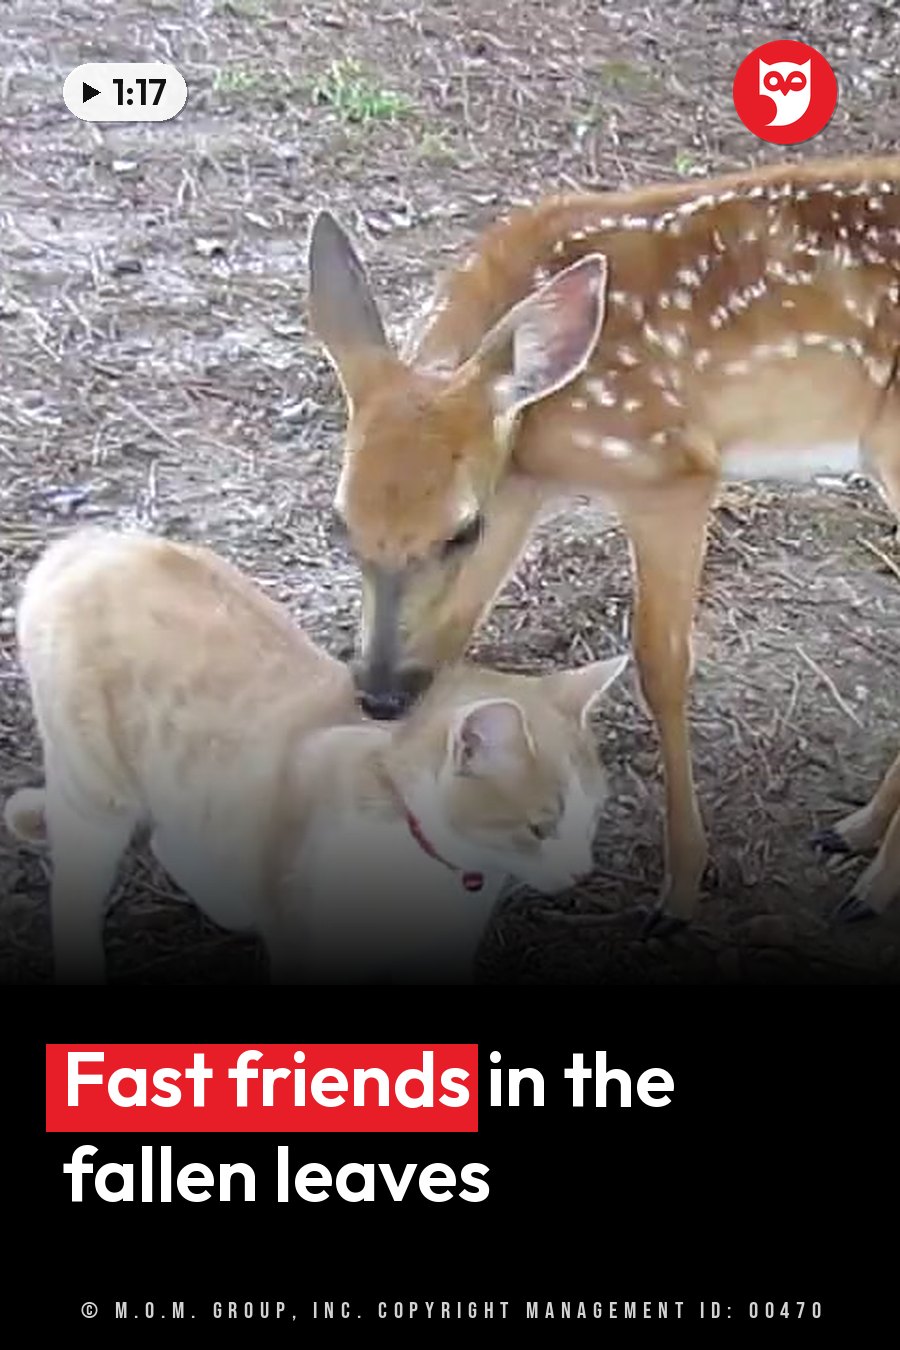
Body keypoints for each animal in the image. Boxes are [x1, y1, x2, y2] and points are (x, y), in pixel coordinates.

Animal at [306, 154, 900, 935]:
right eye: (339, 520)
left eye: (462, 527)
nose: (376, 693)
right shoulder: (528, 489)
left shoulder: (669, 471)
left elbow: (661, 666)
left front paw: (681, 889)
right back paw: (855, 833)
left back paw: (872, 887)